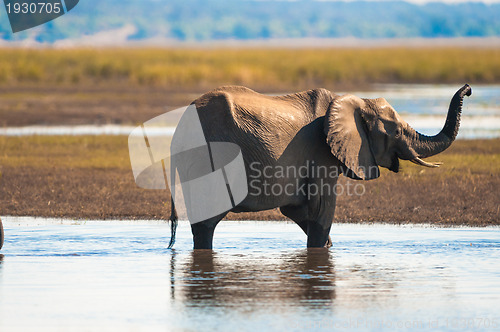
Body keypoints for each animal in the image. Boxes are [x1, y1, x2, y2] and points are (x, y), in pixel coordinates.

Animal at [168, 83, 472, 249]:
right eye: (396, 132)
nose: (468, 90)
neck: (353, 101)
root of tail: (178, 131)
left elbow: (297, 210)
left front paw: (328, 247)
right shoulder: (321, 153)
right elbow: (321, 209)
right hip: (208, 155)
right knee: (207, 221)